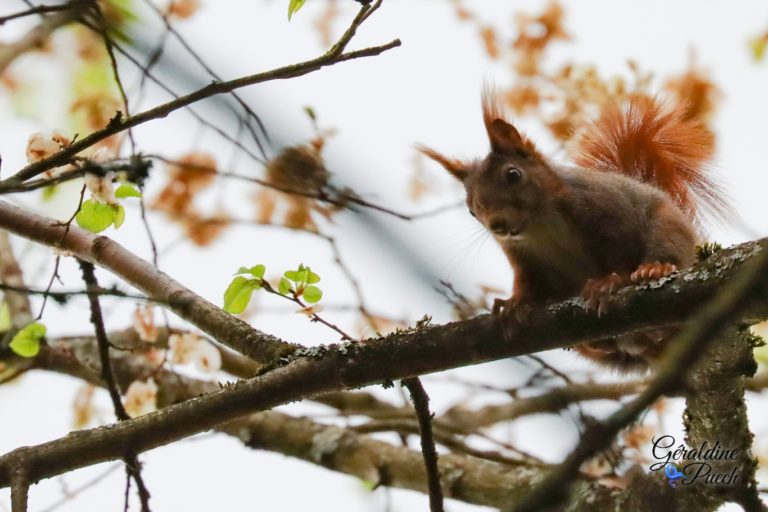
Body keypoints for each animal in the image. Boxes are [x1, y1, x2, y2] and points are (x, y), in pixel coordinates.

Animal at [420, 92, 728, 370]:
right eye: (471, 210)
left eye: (513, 174)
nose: (497, 225)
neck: (539, 225)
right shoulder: (522, 257)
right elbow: (527, 281)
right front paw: (514, 304)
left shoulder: (608, 213)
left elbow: (619, 254)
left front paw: (608, 282)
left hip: (669, 229)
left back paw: (655, 269)